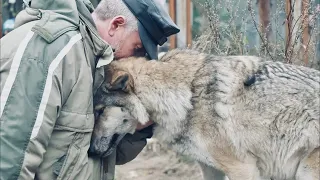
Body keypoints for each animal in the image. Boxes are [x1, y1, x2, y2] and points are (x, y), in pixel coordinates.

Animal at [90, 49, 320, 180]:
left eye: (99, 111)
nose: (90, 151)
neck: (188, 98)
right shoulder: (210, 168)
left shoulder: (243, 168)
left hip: (305, 171)